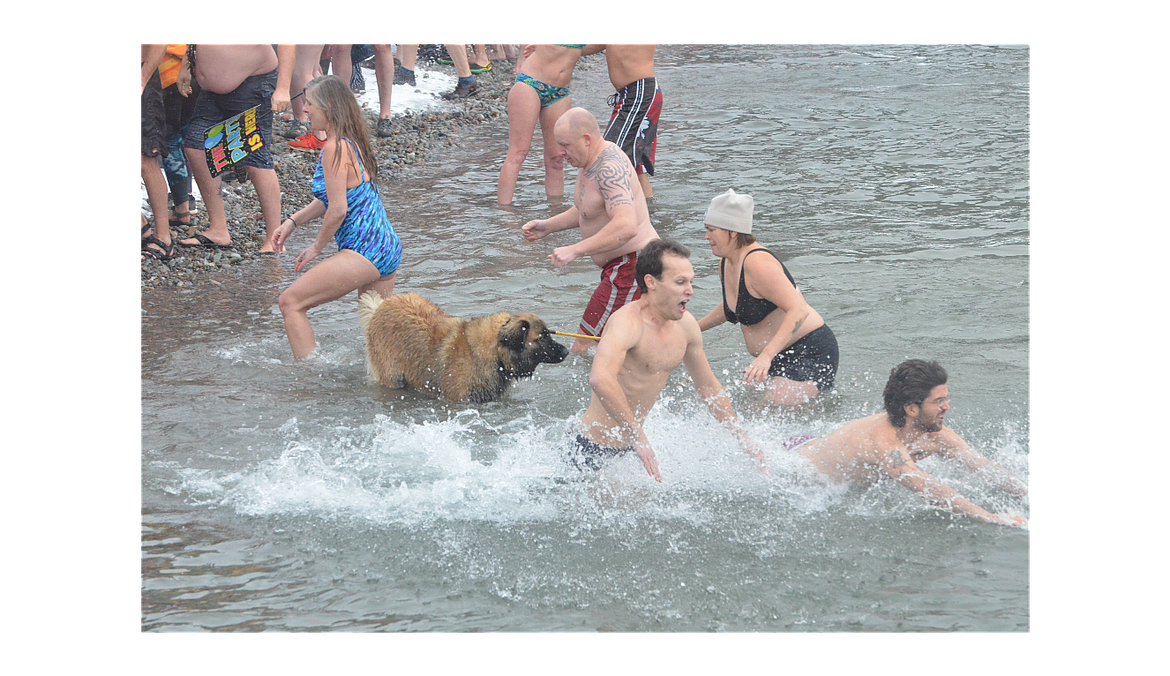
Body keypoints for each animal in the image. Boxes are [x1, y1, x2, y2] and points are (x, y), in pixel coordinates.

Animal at [360, 290, 570, 399]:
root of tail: (380, 307)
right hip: (392, 377)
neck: (495, 354)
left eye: (549, 334)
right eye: (542, 337)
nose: (567, 351)